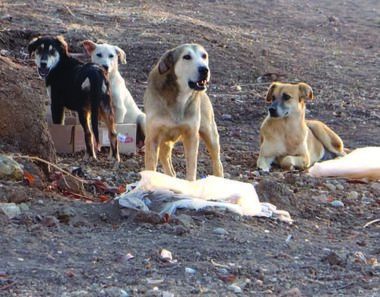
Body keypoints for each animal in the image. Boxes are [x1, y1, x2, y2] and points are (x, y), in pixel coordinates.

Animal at [27, 36, 119, 164]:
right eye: (39, 49)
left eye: (52, 51)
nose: (43, 64)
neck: (59, 64)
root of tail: (94, 72)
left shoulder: (57, 104)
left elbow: (59, 125)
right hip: (105, 107)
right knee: (113, 132)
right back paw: (115, 158)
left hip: (84, 110)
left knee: (89, 133)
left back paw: (90, 157)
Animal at [144, 42, 224, 179]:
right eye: (186, 57)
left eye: (204, 56)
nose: (204, 69)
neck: (178, 98)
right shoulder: (152, 138)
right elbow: (151, 168)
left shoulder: (191, 135)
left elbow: (191, 168)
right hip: (163, 143)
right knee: (169, 167)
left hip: (210, 133)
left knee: (218, 162)